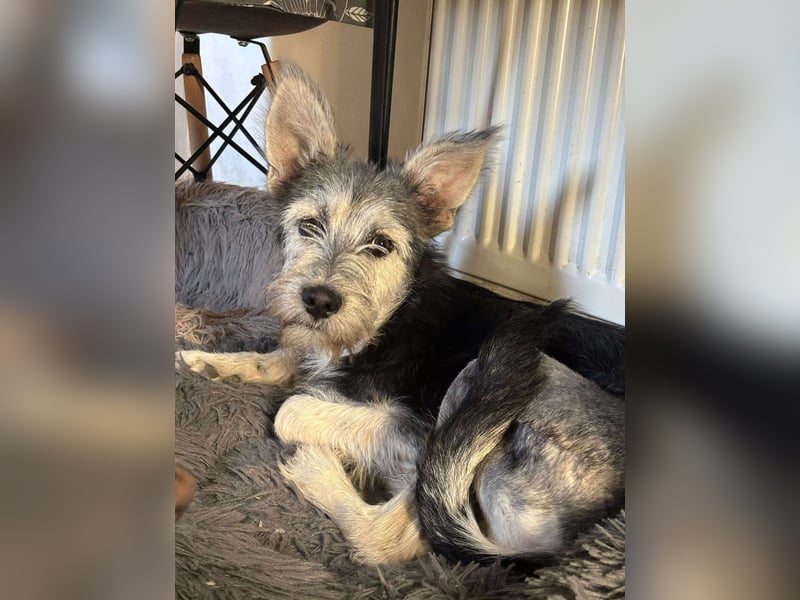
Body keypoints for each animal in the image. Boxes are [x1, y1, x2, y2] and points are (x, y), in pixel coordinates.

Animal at [176, 65, 624, 565]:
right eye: (309, 225)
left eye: (381, 244)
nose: (318, 300)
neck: (387, 317)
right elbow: (281, 355)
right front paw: (212, 362)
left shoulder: (416, 430)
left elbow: (291, 406)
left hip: (490, 379)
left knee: (393, 532)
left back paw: (315, 468)